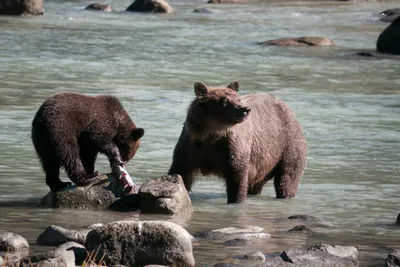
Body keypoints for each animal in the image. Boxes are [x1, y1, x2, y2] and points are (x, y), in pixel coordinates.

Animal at [168, 80, 306, 204]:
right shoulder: (191, 145)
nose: (245, 109)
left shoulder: (233, 147)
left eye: (238, 99)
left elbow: (237, 176)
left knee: (288, 175)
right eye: (224, 101)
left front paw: (236, 200)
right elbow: (181, 171)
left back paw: (286, 194)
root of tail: (288, 108)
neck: (212, 134)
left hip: (286, 144)